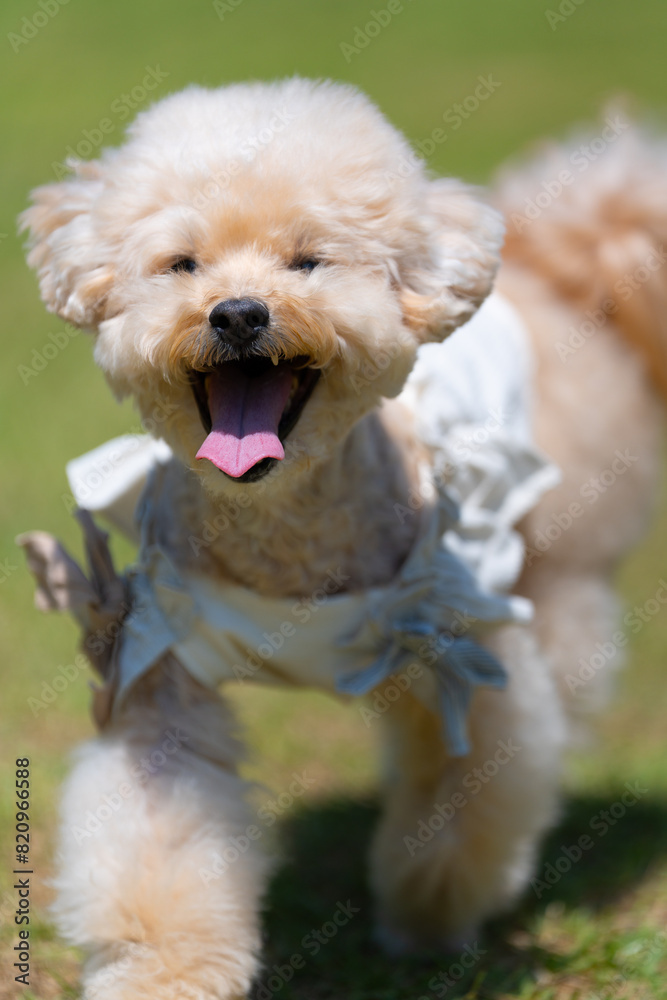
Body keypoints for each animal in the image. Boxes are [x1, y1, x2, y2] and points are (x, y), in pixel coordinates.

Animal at [18, 80, 667, 1000]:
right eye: (182, 264)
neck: (284, 525)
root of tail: (567, 260)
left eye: (307, 262)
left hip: (557, 563)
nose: (238, 312)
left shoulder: (458, 649)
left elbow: (471, 793)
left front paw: (427, 916)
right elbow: (159, 834)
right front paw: (162, 975)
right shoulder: (164, 660)